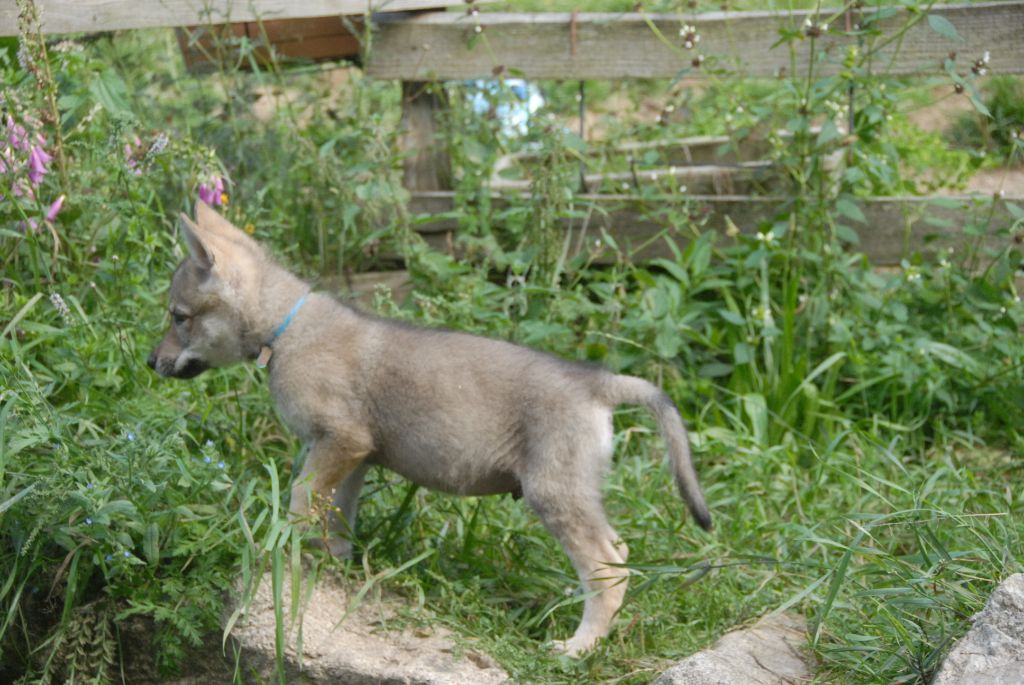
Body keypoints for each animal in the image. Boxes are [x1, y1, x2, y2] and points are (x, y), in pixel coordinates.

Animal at [149, 200, 712, 655]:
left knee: (607, 569)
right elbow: (338, 518)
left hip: (554, 495)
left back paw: (578, 648)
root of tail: (599, 383)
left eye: (178, 316)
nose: (150, 362)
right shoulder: (353, 457)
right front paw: (334, 564)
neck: (286, 329)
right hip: (575, 494)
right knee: (618, 556)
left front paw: (284, 548)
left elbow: (300, 502)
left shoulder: (337, 442)